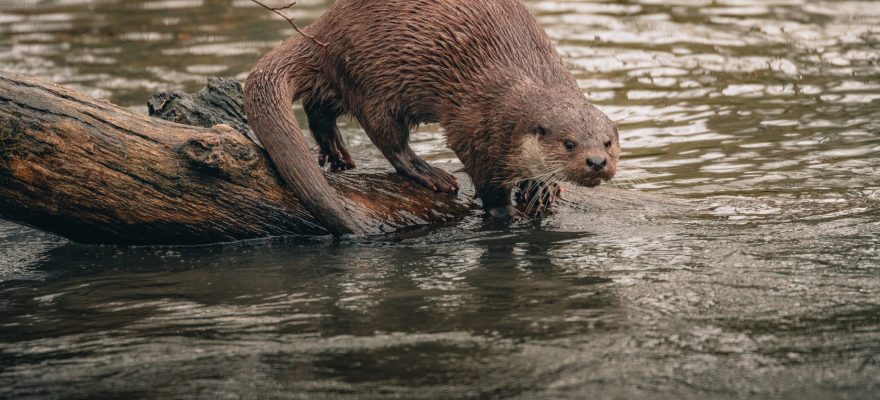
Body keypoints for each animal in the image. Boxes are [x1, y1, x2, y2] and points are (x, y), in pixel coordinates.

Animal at [242, 0, 620, 236]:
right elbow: (487, 183)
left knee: (319, 106)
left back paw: (337, 153)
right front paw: (504, 215)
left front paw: (541, 188)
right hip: (376, 80)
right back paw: (430, 174)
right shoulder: (474, 128)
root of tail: (322, 31)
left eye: (608, 142)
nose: (597, 162)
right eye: (569, 143)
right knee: (387, 138)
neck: (523, 85)